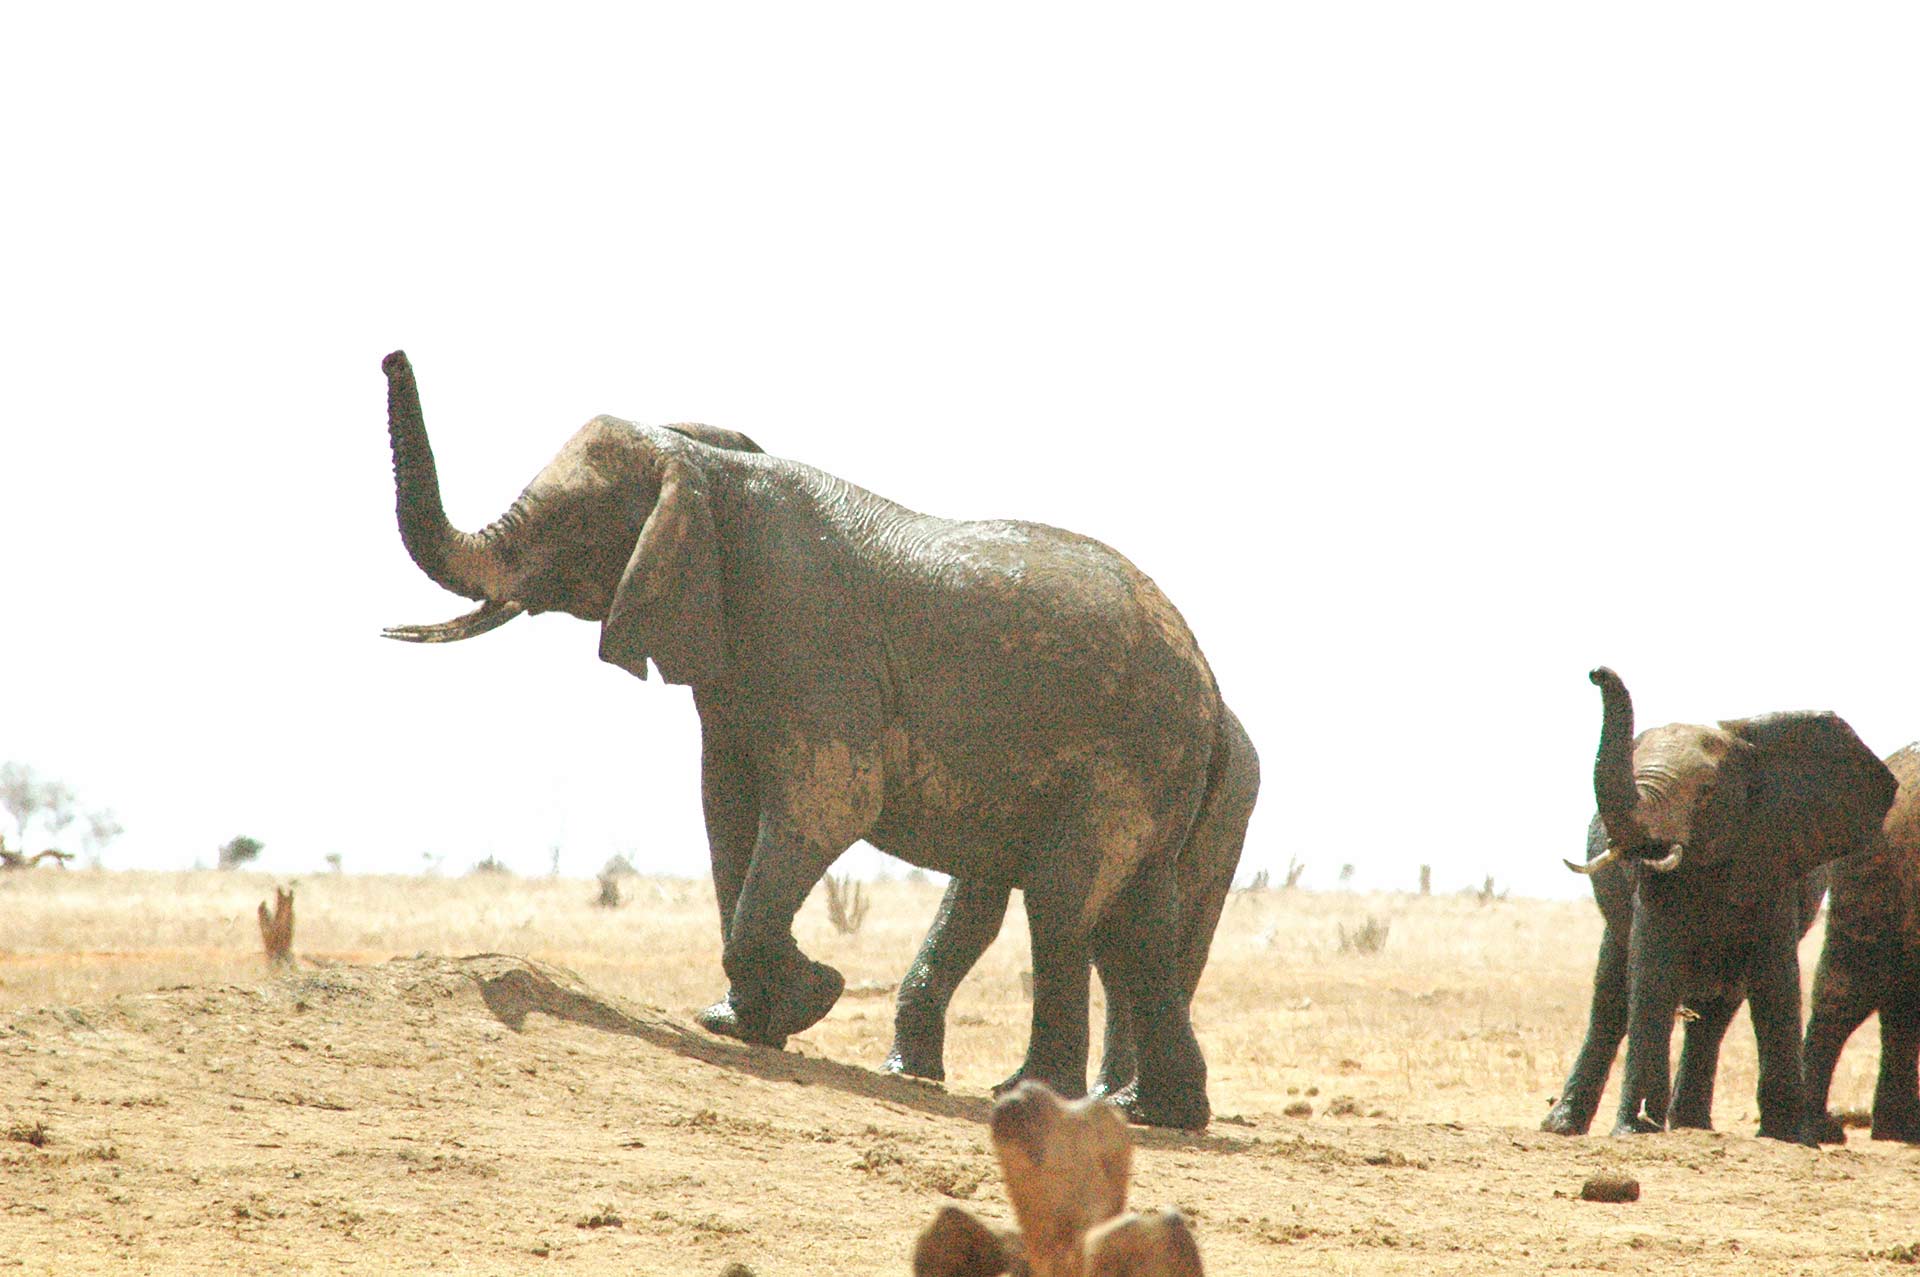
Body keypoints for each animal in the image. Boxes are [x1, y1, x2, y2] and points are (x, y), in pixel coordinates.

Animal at [378, 349, 1244, 1129]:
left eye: (571, 525)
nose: (390, 356)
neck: (705, 469)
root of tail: (1207, 686)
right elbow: (726, 810)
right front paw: (743, 1023)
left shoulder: (807, 634)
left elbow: (828, 804)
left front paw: (812, 992)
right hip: (1151, 771)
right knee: (1136, 923)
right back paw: (1155, 1112)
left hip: (1124, 762)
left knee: (1065, 902)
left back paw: (1037, 1099)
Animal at [1536, 672, 1896, 1136]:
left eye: (1706, 793)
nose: (1596, 673)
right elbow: (1652, 974)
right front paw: (1636, 1130)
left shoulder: (1774, 859)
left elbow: (1775, 978)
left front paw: (1788, 1138)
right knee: (1611, 999)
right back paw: (1564, 1127)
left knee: (1719, 1008)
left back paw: (1691, 1125)